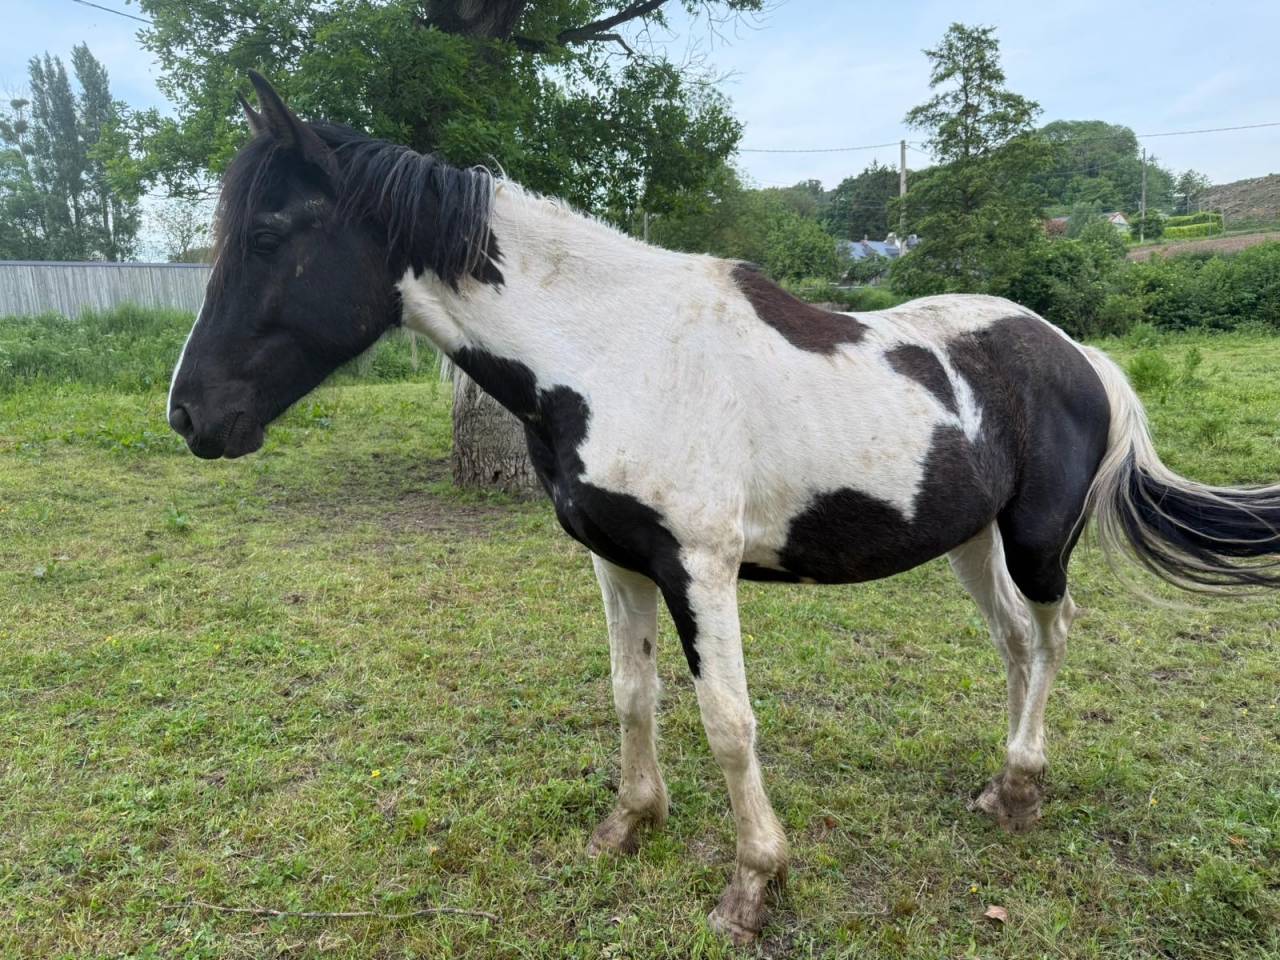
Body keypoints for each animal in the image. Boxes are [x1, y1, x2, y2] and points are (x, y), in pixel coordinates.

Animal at [167, 72, 1280, 944]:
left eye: (269, 231)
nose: (189, 414)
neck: (611, 353)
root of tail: (1076, 353)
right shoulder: (615, 560)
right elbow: (632, 695)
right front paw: (627, 827)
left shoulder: (698, 570)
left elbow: (728, 721)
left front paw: (753, 885)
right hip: (968, 542)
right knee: (1012, 640)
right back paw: (1001, 786)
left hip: (1037, 539)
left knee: (1050, 636)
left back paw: (1019, 785)